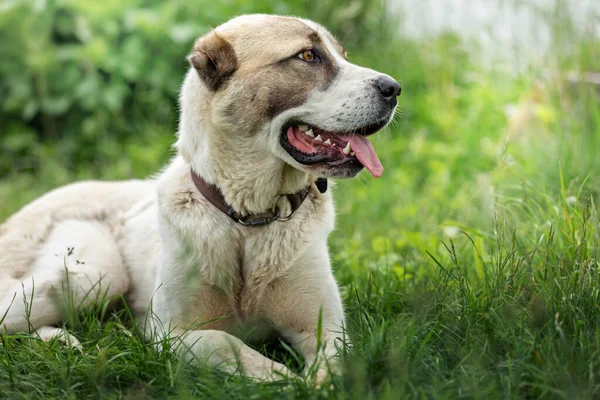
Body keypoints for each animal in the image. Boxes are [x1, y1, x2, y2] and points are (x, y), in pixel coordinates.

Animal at [1, 14, 404, 382]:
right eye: (307, 56)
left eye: (343, 55)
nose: (394, 88)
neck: (249, 218)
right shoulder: (170, 334)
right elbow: (225, 343)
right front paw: (283, 379)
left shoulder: (324, 328)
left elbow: (331, 368)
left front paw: (311, 383)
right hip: (94, 274)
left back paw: (60, 342)